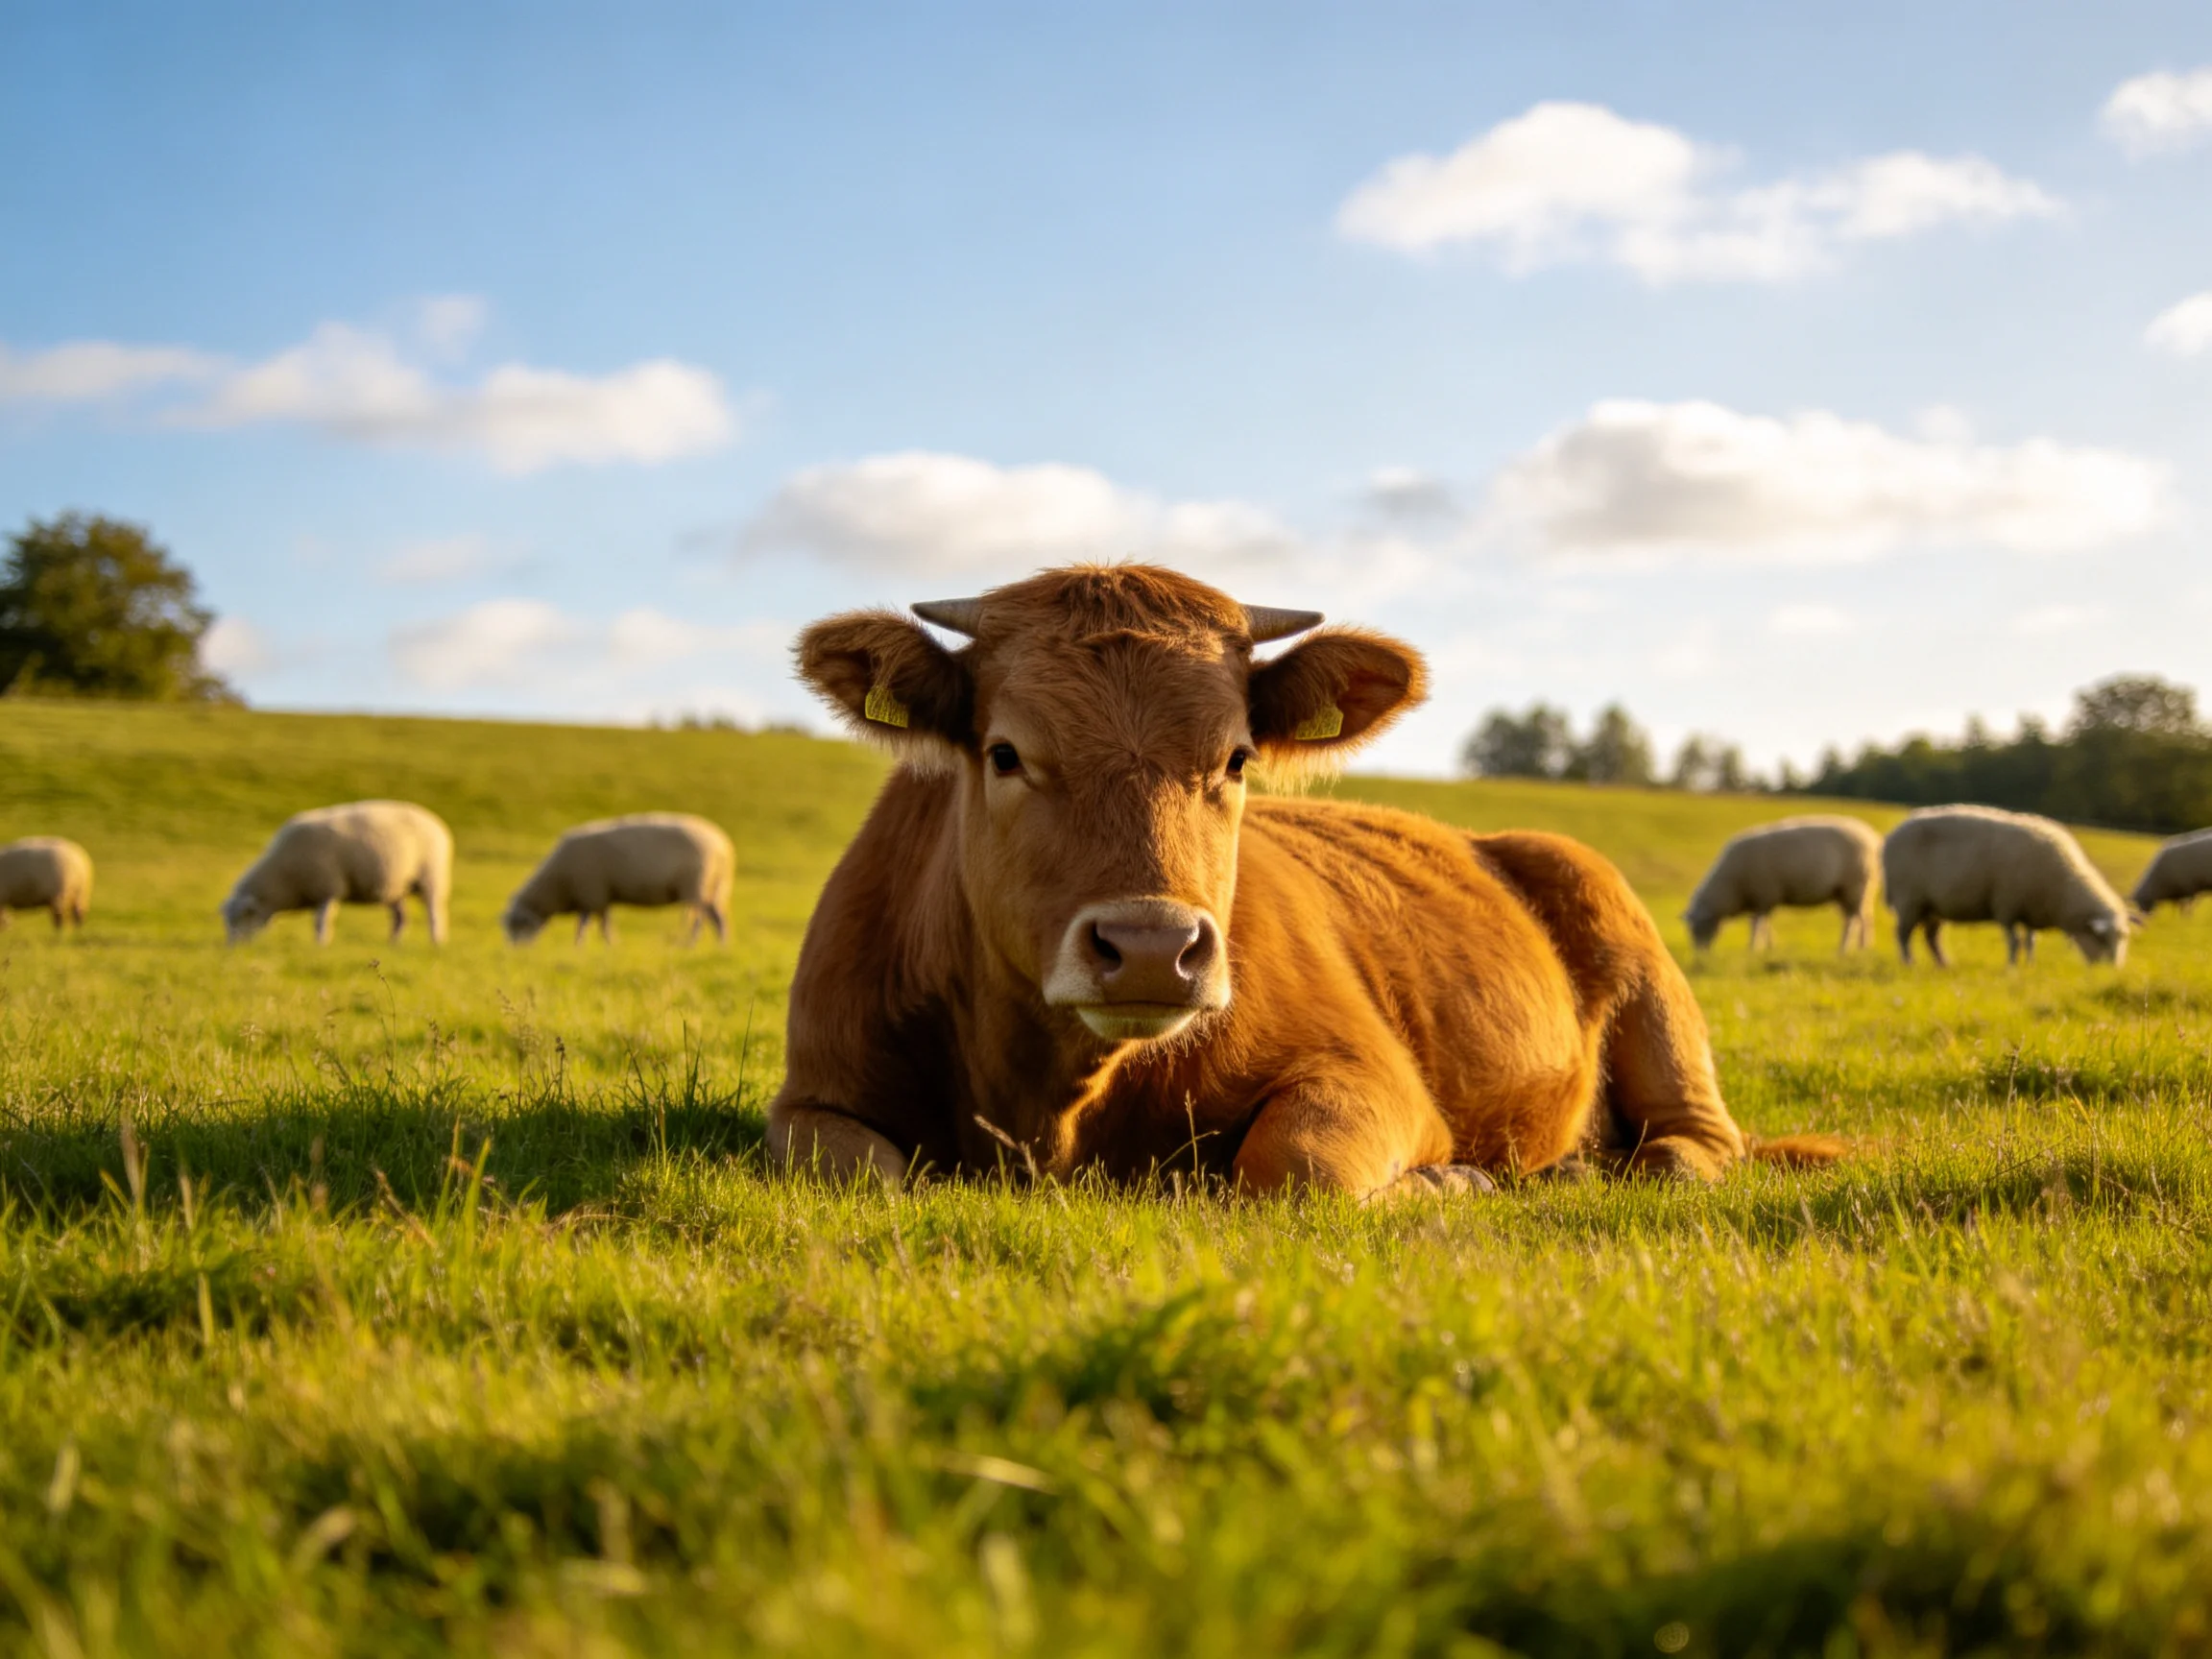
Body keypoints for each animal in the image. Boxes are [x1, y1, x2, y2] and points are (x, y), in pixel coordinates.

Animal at [222, 801, 453, 945]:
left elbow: (321, 921)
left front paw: (320, 944)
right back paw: (393, 944)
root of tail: (434, 820)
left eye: (241, 918)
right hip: (395, 886)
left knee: (433, 913)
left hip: (430, 877)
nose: (230, 947)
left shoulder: (327, 887)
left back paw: (436, 942)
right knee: (400, 917)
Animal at [502, 813, 734, 946]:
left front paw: (582, 945)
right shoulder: (600, 896)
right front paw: (608, 945)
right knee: (718, 919)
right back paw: (721, 946)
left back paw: (689, 944)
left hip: (696, 885)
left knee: (698, 920)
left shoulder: (591, 892)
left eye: (518, 926)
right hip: (714, 889)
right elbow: (601, 924)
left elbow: (585, 925)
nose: (515, 954)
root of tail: (723, 844)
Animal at [768, 565, 1838, 1198]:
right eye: (1004, 753)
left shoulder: (1369, 1074)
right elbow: (864, 1174)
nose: (1152, 948)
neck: (1055, 1104)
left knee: (1688, 1151)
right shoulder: (810, 1095)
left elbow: (1297, 1167)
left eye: (1237, 758)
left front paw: (1447, 1183)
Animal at [1683, 815, 1882, 953]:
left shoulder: (1763, 894)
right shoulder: (1762, 899)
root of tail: (1871, 837)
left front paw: (1753, 948)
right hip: (1853, 891)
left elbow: (1757, 925)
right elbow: (1765, 924)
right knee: (1864, 918)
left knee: (1854, 921)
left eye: (1699, 927)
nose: (1700, 954)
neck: (1730, 884)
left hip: (1855, 886)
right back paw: (1863, 947)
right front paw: (1769, 947)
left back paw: (1846, 948)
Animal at [1881, 805, 2128, 967]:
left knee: (1931, 937)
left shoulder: (2030, 909)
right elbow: (2015, 941)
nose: (2111, 971)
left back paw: (1944, 964)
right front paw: (2011, 967)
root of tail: (1891, 836)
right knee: (1902, 933)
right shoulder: (2007, 905)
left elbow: (2030, 942)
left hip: (1933, 907)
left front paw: (2029, 965)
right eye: (2103, 939)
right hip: (1908, 899)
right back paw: (1908, 962)